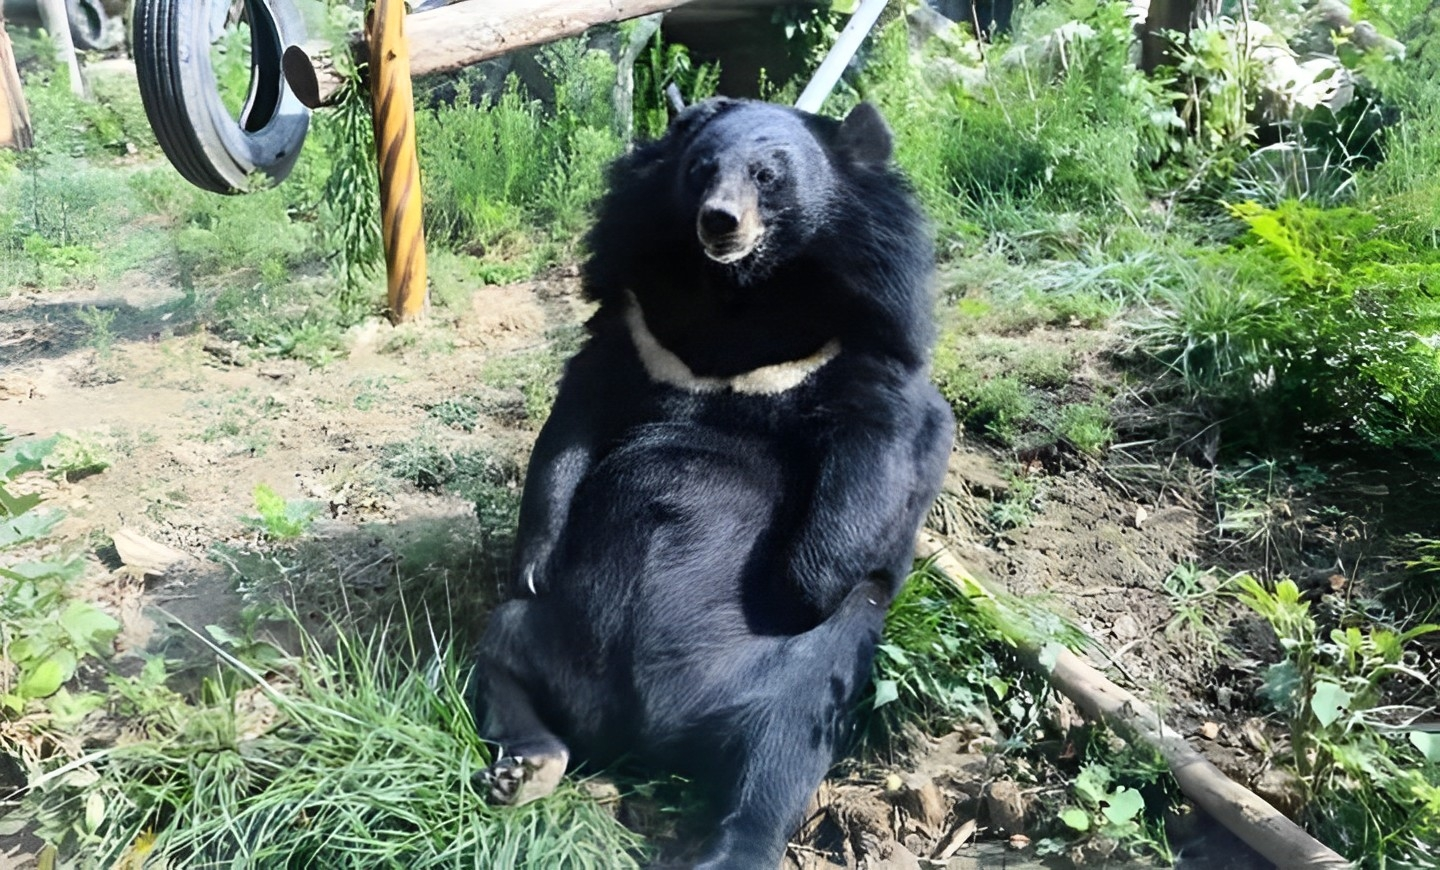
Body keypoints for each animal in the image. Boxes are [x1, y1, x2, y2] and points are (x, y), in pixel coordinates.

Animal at [472, 98, 956, 864]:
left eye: (769, 175)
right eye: (701, 169)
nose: (719, 222)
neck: (738, 295)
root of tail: (641, 736)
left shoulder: (863, 339)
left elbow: (876, 456)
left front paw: (796, 587)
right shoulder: (637, 327)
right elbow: (572, 425)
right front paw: (534, 561)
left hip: (797, 678)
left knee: (782, 752)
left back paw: (733, 845)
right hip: (543, 634)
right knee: (503, 659)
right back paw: (526, 768)